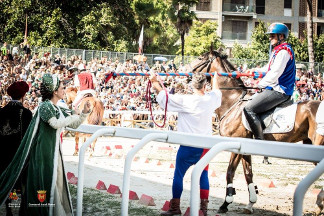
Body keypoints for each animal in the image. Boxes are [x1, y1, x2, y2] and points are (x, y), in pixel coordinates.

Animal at [189, 47, 322, 213]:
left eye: (201, 58)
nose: (189, 71)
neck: (232, 102)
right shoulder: (245, 148)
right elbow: (248, 174)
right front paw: (251, 203)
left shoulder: (236, 144)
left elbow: (230, 172)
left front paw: (226, 203)